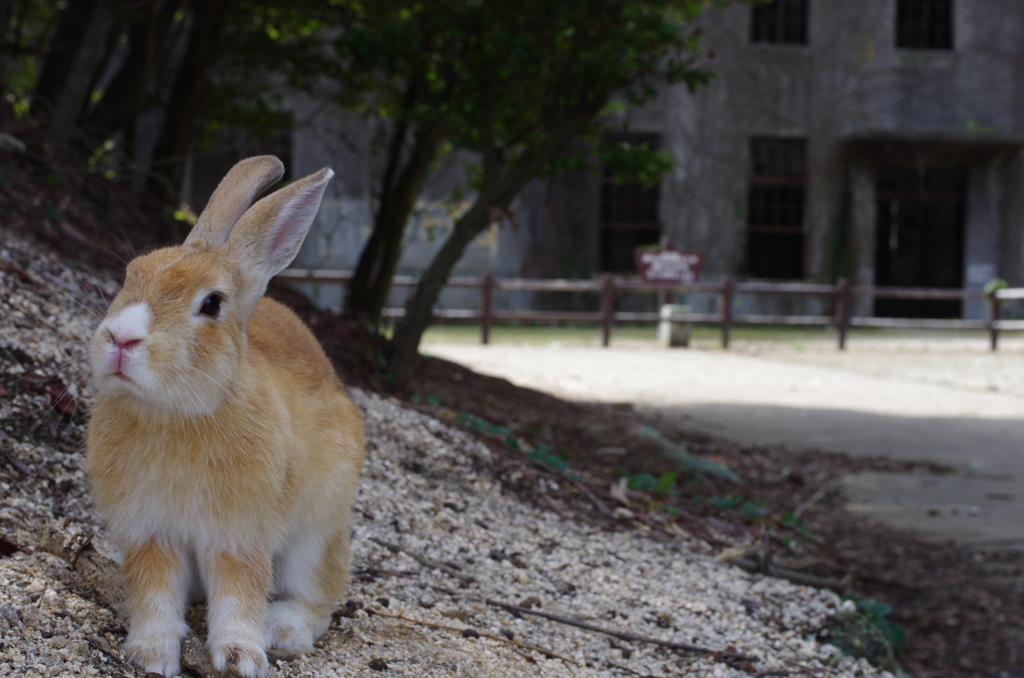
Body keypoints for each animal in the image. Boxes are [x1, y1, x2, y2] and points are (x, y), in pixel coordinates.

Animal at [84, 156, 364, 675]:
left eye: (211, 303)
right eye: (131, 275)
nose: (121, 337)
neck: (176, 412)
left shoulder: (239, 535)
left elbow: (239, 592)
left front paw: (240, 657)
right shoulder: (149, 534)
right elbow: (154, 592)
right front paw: (151, 655)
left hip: (316, 534)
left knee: (320, 596)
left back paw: (282, 629)